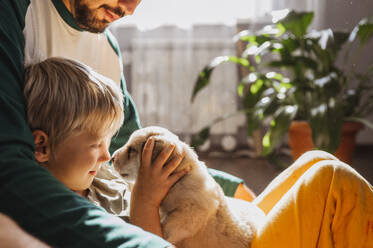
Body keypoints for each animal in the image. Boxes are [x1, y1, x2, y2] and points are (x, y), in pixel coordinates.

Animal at [112, 127, 264, 247]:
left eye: (132, 150)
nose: (112, 158)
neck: (178, 181)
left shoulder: (192, 211)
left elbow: (172, 224)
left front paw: (164, 234)